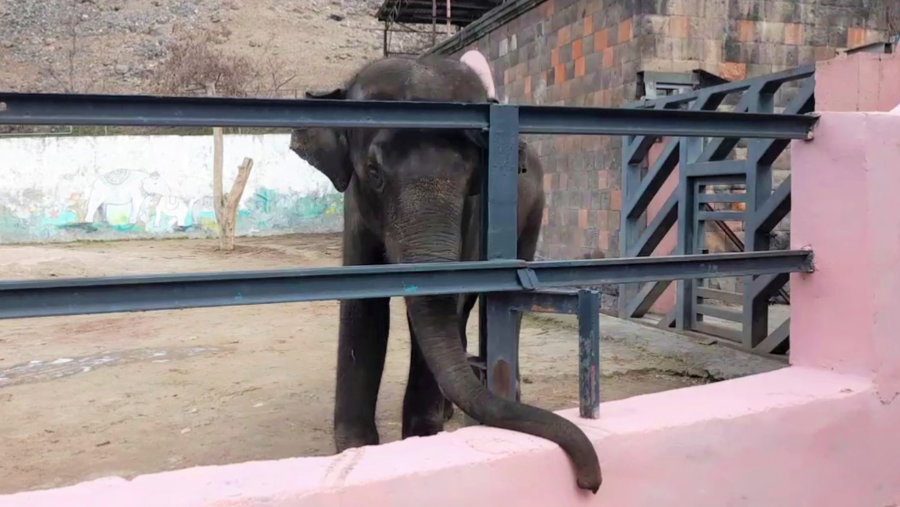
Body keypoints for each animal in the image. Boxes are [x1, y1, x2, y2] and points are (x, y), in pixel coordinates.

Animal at [288, 55, 602, 493]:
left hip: (534, 213)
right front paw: (357, 447)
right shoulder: (355, 211)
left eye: (473, 173)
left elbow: (447, 297)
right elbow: (364, 308)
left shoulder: (473, 214)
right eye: (373, 171)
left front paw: (421, 438)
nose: (591, 482)